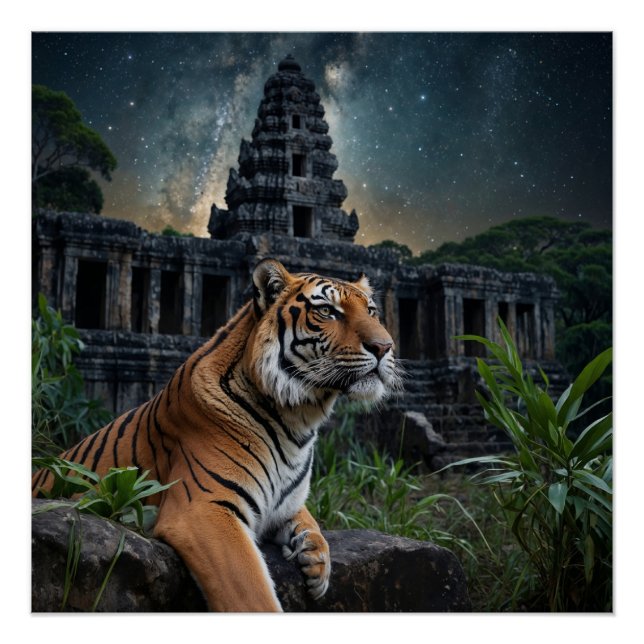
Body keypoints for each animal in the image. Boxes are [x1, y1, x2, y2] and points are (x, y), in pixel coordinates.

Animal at [32, 258, 402, 612]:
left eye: (371, 311)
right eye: (327, 311)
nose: (385, 346)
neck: (298, 420)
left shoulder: (286, 503)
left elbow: (310, 521)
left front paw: (317, 564)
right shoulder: (204, 508)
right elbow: (253, 596)